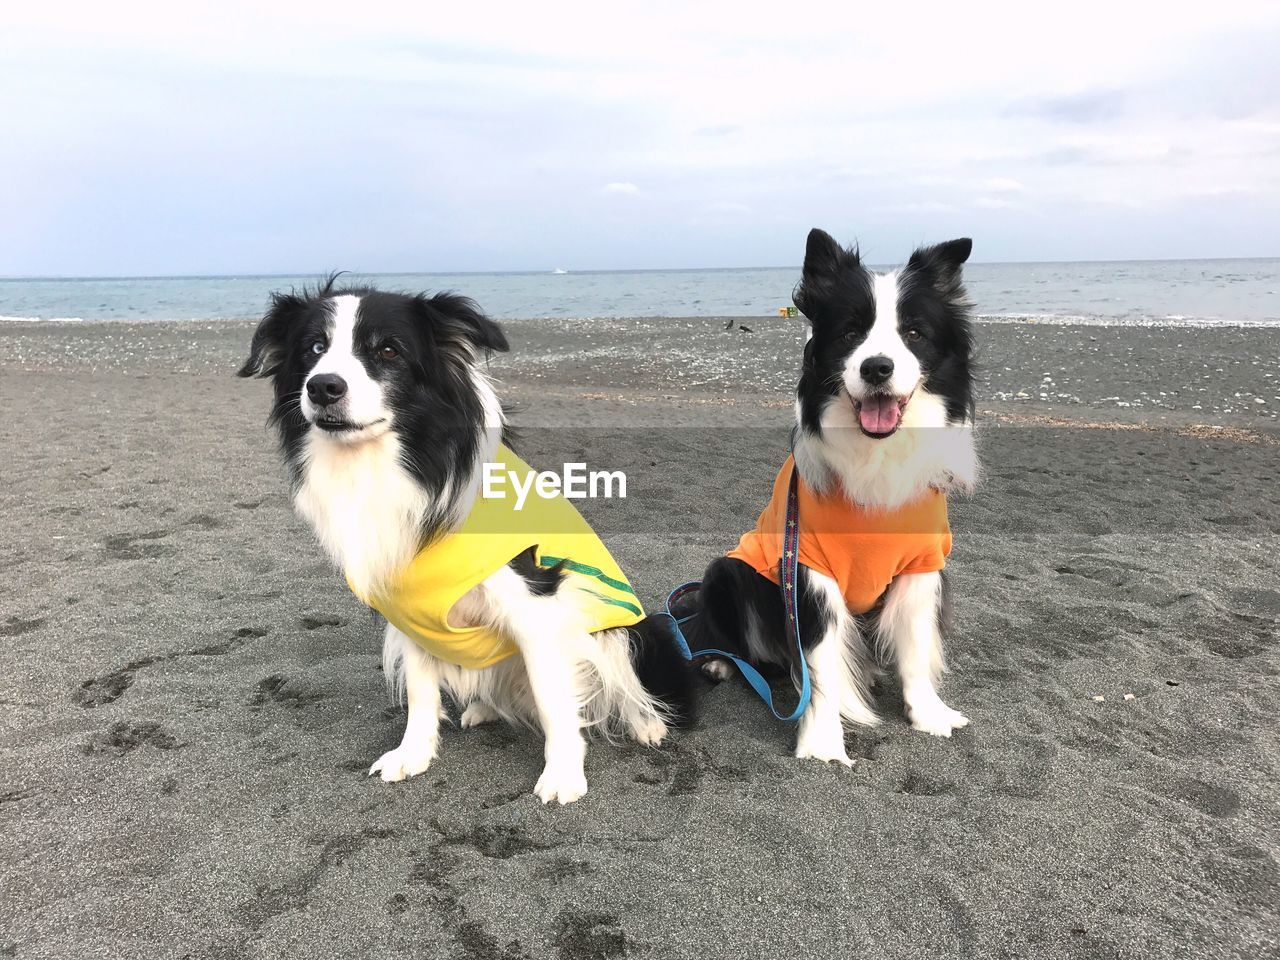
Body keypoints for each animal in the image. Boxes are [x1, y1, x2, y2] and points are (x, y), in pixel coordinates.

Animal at [240, 277, 701, 803]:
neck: (395, 468)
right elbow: (421, 690)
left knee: (626, 684)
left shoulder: (537, 606)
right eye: (314, 348)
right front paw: (414, 753)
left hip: (636, 629)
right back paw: (484, 709)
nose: (322, 387)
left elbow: (553, 699)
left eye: (388, 350)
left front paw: (564, 772)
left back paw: (647, 724)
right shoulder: (409, 613)